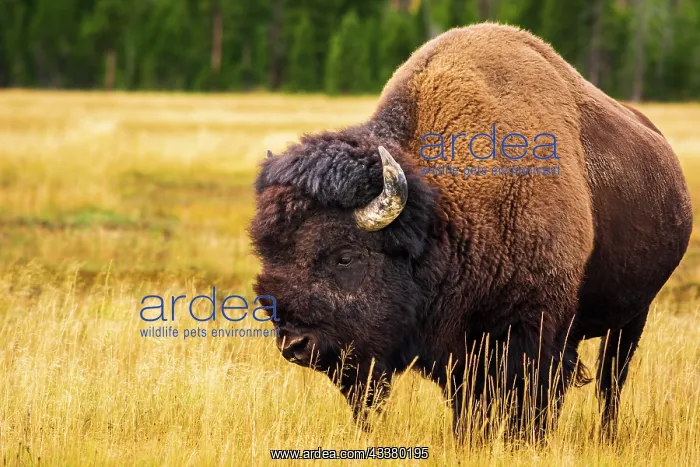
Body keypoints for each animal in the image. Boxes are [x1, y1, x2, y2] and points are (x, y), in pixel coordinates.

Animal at [250, 23, 692, 440]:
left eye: (345, 256)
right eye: (269, 256)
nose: (294, 345)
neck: (444, 214)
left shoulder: (536, 330)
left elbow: (533, 397)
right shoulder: (459, 346)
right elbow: (469, 401)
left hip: (633, 316)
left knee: (610, 381)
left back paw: (606, 434)